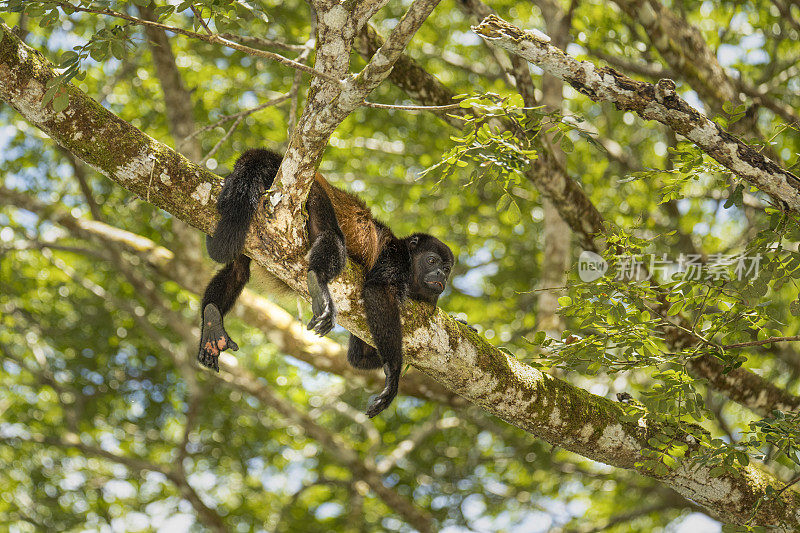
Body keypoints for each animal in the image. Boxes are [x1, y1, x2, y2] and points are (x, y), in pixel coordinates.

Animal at [197, 148, 454, 418]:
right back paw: (318, 282)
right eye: (431, 260)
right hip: (311, 192)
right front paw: (394, 375)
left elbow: (359, 357)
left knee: (237, 270)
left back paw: (212, 322)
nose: (440, 276)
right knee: (330, 232)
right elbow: (378, 290)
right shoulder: (396, 258)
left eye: (447, 269)